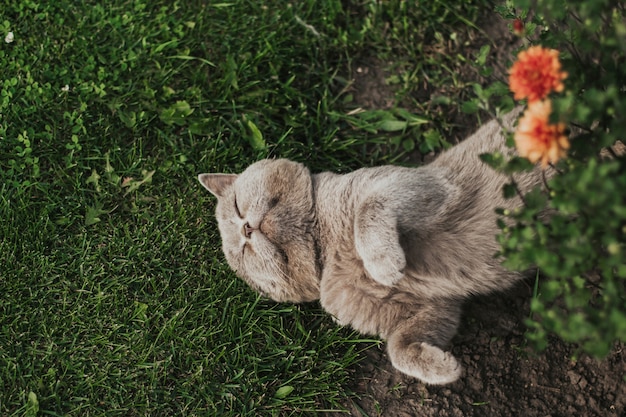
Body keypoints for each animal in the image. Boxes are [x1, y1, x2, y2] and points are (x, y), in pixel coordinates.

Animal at [197, 107, 548, 384]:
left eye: (238, 207)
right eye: (243, 252)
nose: (246, 228)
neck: (327, 249)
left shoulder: (421, 185)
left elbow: (369, 209)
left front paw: (382, 262)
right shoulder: (433, 308)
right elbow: (398, 349)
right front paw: (444, 369)